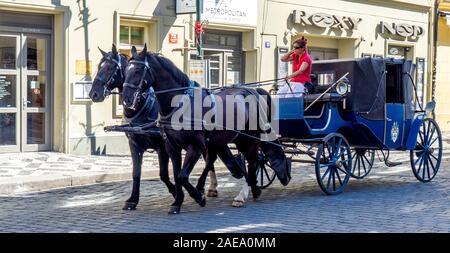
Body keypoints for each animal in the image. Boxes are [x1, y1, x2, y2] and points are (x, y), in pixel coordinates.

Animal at [123, 45, 292, 213]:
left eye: (138, 70)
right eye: (126, 70)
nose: (127, 100)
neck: (181, 104)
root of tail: (255, 91)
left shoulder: (195, 147)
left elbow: (182, 176)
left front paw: (199, 197)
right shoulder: (171, 147)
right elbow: (176, 175)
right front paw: (177, 202)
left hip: (250, 138)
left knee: (252, 163)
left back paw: (242, 194)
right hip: (236, 139)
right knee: (238, 162)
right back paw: (252, 188)